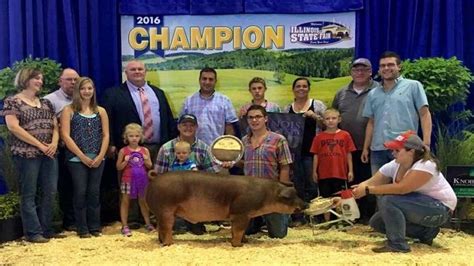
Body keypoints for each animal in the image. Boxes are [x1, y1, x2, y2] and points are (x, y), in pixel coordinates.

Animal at [145, 170, 308, 247]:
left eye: (297, 193)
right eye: (290, 196)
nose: (305, 204)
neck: (266, 195)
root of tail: (154, 178)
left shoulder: (244, 216)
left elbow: (239, 231)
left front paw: (245, 241)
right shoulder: (240, 212)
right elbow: (238, 230)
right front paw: (238, 245)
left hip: (161, 212)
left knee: (160, 228)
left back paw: (162, 242)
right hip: (166, 209)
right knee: (166, 228)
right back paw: (169, 244)